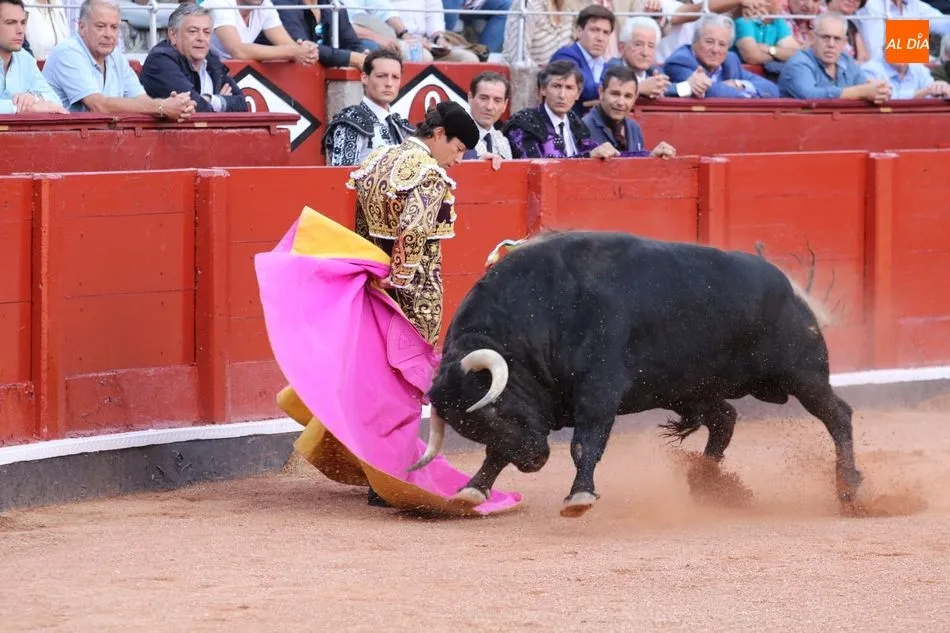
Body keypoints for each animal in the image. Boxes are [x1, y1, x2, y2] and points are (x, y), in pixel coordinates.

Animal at [406, 230, 863, 518]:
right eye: (470, 427)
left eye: (492, 412)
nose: (535, 462)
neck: (543, 310)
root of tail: (789, 286)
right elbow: (497, 453)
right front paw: (473, 489)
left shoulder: (599, 391)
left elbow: (584, 443)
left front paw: (579, 497)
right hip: (689, 387)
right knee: (725, 419)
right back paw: (707, 484)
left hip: (802, 374)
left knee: (837, 415)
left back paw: (849, 492)